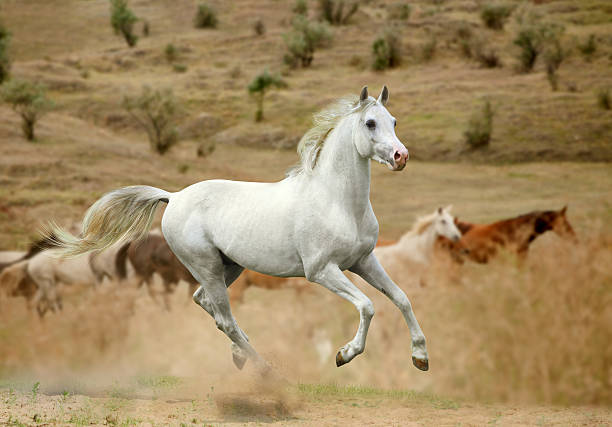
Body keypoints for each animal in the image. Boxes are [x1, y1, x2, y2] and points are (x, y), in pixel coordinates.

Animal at [45, 88, 430, 374]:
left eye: (393, 120)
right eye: (370, 123)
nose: (401, 156)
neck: (337, 202)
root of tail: (174, 197)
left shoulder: (363, 261)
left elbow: (401, 298)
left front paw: (420, 357)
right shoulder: (322, 271)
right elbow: (367, 305)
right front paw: (344, 354)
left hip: (228, 267)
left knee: (209, 306)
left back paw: (242, 353)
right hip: (207, 266)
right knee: (223, 317)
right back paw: (264, 368)